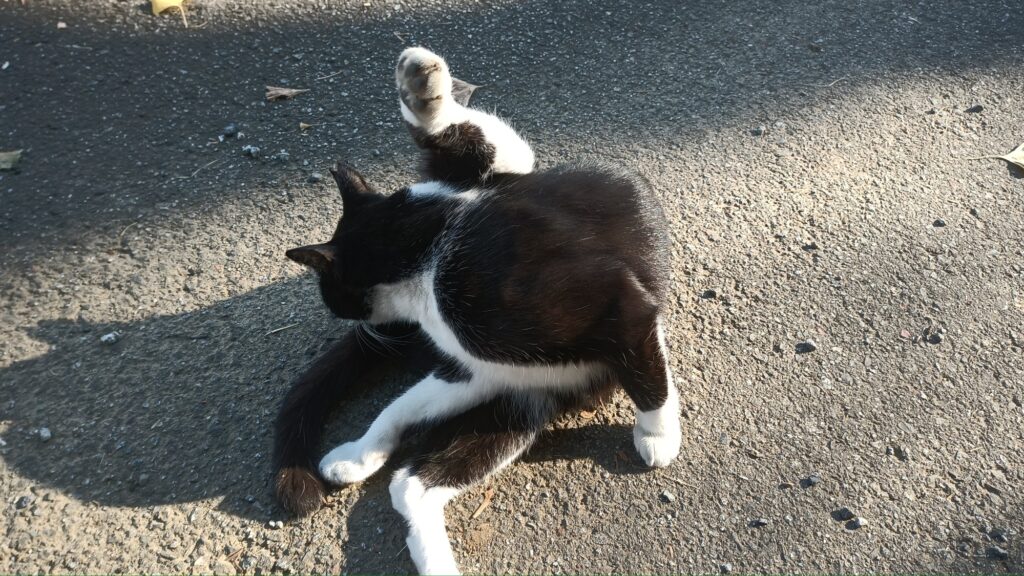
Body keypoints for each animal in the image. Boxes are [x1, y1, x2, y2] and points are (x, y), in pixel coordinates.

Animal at [272, 47, 679, 569]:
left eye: (331, 296)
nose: (348, 317)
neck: (429, 255)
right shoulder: (474, 368)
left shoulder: (616, 303)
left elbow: (649, 377)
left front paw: (658, 435)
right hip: (510, 395)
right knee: (409, 481)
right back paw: (359, 460)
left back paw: (420, 83)